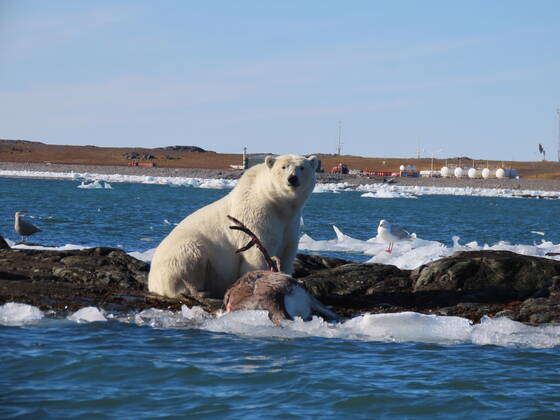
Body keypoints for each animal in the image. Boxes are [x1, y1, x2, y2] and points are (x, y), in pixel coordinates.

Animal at [147, 154, 318, 298]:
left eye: (302, 167)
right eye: (283, 167)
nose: (292, 178)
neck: (276, 203)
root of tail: (151, 281)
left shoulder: (291, 223)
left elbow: (287, 252)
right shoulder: (256, 217)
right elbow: (258, 252)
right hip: (181, 253)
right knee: (191, 257)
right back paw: (198, 291)